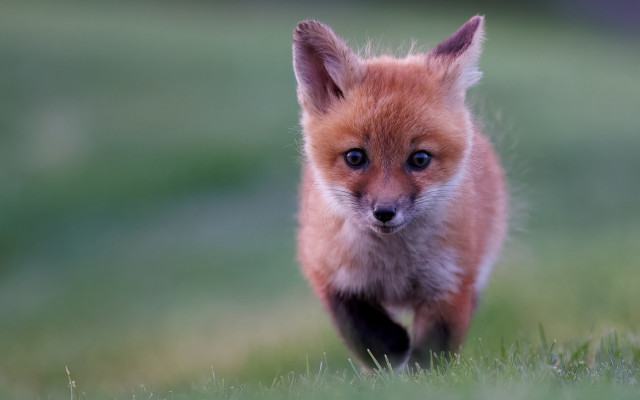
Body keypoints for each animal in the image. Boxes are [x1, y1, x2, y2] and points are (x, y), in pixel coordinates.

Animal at [292, 16, 507, 370]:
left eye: (420, 159)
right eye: (355, 157)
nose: (384, 211)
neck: (393, 266)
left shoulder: (451, 281)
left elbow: (434, 349)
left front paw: (421, 373)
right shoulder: (327, 272)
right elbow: (363, 330)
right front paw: (390, 354)